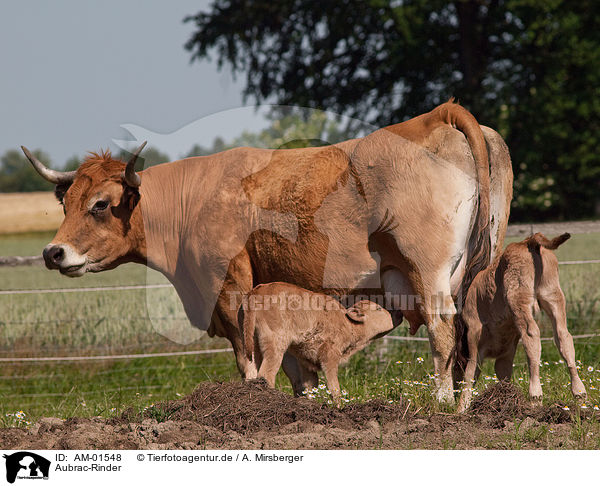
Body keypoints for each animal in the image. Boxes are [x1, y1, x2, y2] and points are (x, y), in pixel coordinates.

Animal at [241, 280, 396, 406]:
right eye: (378, 308)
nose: (393, 316)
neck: (348, 322)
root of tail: (257, 291)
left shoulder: (306, 362)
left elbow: (310, 387)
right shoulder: (330, 357)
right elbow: (334, 387)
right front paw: (339, 408)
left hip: (252, 345)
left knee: (251, 371)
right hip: (275, 347)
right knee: (267, 374)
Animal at [458, 234, 588, 412]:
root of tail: (527, 241)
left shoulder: (474, 336)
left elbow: (470, 374)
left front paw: (461, 410)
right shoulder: (506, 353)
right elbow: (502, 372)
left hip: (518, 299)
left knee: (531, 335)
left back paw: (535, 397)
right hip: (554, 296)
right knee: (563, 337)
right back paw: (580, 393)